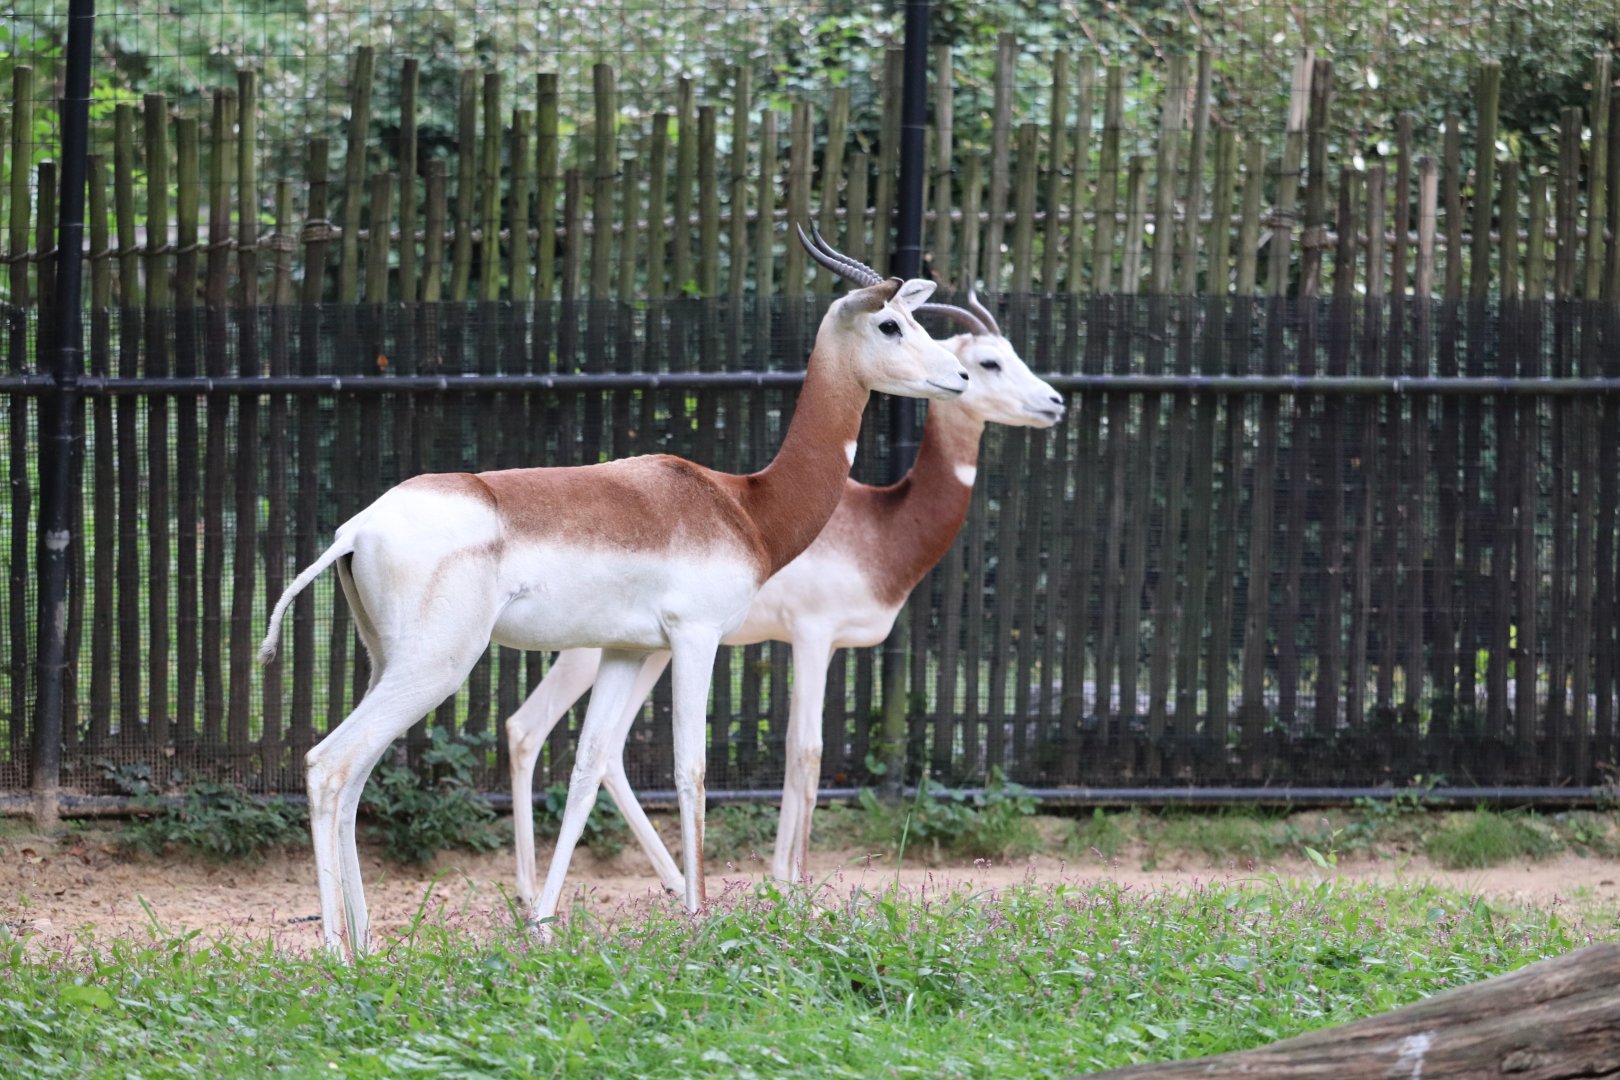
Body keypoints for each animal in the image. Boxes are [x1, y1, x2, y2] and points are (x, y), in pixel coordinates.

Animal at [258, 247, 969, 956]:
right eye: (889, 325)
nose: (959, 376)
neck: (743, 506)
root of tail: (356, 530)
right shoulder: (696, 639)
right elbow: (690, 769)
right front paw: (697, 917)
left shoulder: (626, 651)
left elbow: (585, 768)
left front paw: (543, 925)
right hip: (436, 668)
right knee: (328, 765)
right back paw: (339, 952)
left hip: (389, 664)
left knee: (356, 777)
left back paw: (369, 945)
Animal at [510, 229, 1066, 910]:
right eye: (989, 362)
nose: (1053, 402)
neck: (879, 525)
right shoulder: (811, 635)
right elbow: (807, 752)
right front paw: (795, 881)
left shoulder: (818, 644)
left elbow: (804, 756)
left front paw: (783, 879)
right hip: (594, 654)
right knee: (527, 728)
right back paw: (532, 894)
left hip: (647, 654)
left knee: (601, 752)